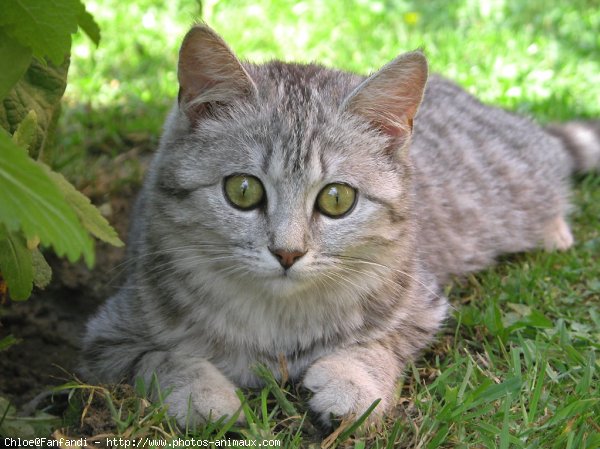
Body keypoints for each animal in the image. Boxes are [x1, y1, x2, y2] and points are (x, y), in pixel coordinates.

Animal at [81, 25, 600, 428]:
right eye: (242, 190)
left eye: (336, 199)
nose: (287, 252)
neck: (278, 322)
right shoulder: (109, 335)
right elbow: (160, 358)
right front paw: (202, 395)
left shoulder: (421, 306)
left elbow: (378, 344)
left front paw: (351, 383)